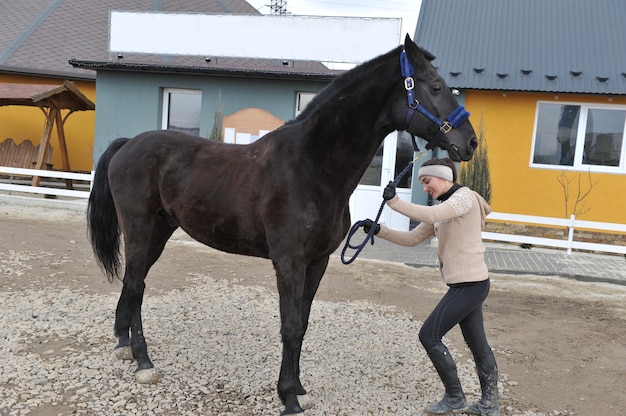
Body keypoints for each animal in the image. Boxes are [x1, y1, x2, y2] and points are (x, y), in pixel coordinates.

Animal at [88, 34, 476, 414]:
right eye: (436, 86)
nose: (469, 142)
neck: (312, 166)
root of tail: (128, 144)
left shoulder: (317, 261)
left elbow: (301, 323)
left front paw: (299, 389)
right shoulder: (289, 261)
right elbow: (289, 326)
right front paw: (289, 398)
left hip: (159, 232)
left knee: (133, 282)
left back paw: (123, 344)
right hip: (139, 230)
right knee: (136, 285)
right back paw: (143, 362)